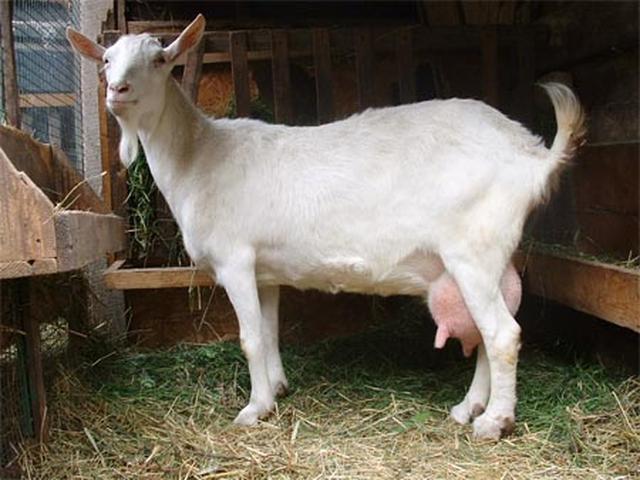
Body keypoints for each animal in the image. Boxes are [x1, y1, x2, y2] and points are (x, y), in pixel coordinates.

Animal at [67, 15, 586, 440]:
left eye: (160, 59)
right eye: (107, 60)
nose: (117, 91)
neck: (200, 156)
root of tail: (531, 155)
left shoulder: (235, 259)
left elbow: (249, 338)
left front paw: (254, 409)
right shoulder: (264, 270)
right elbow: (269, 332)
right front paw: (277, 388)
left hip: (472, 250)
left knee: (503, 334)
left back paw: (494, 422)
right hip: (486, 258)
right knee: (485, 331)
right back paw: (469, 407)